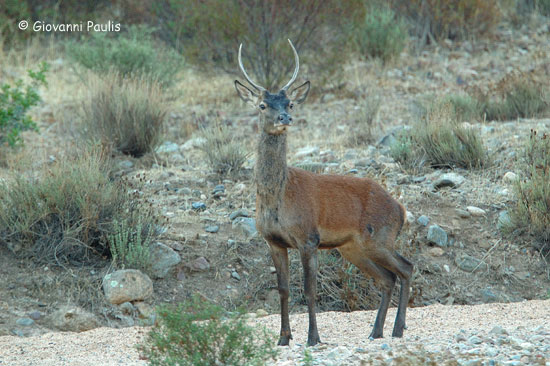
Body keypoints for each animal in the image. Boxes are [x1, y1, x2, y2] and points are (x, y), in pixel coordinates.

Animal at [235, 40, 416, 346]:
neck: (277, 199)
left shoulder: (308, 238)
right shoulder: (273, 241)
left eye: (289, 102)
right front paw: (283, 338)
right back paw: (376, 331)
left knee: (406, 268)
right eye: (262, 105)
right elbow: (283, 289)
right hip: (353, 247)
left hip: (379, 237)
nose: (285, 117)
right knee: (387, 278)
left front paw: (313, 338)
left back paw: (397, 329)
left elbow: (309, 290)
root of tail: (400, 208)